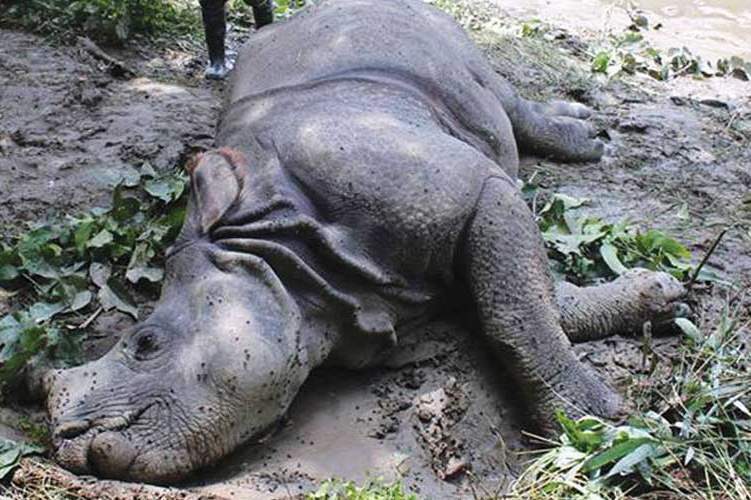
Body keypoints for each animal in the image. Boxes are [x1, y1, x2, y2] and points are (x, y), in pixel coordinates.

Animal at [45, 0, 686, 484]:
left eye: (145, 343)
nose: (72, 445)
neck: (278, 251)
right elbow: (526, 297)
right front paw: (659, 298)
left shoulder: (475, 189)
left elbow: (515, 313)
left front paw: (598, 427)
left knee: (495, 92)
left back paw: (588, 139)